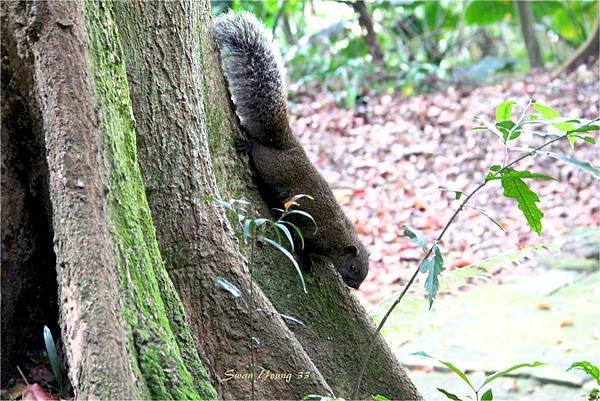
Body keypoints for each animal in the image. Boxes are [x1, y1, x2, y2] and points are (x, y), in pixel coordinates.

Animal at [213, 10, 368, 290]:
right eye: (352, 267)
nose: (355, 286)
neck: (340, 239)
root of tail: (289, 144)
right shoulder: (314, 233)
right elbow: (301, 243)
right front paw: (306, 262)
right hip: (270, 165)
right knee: (259, 152)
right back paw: (248, 146)